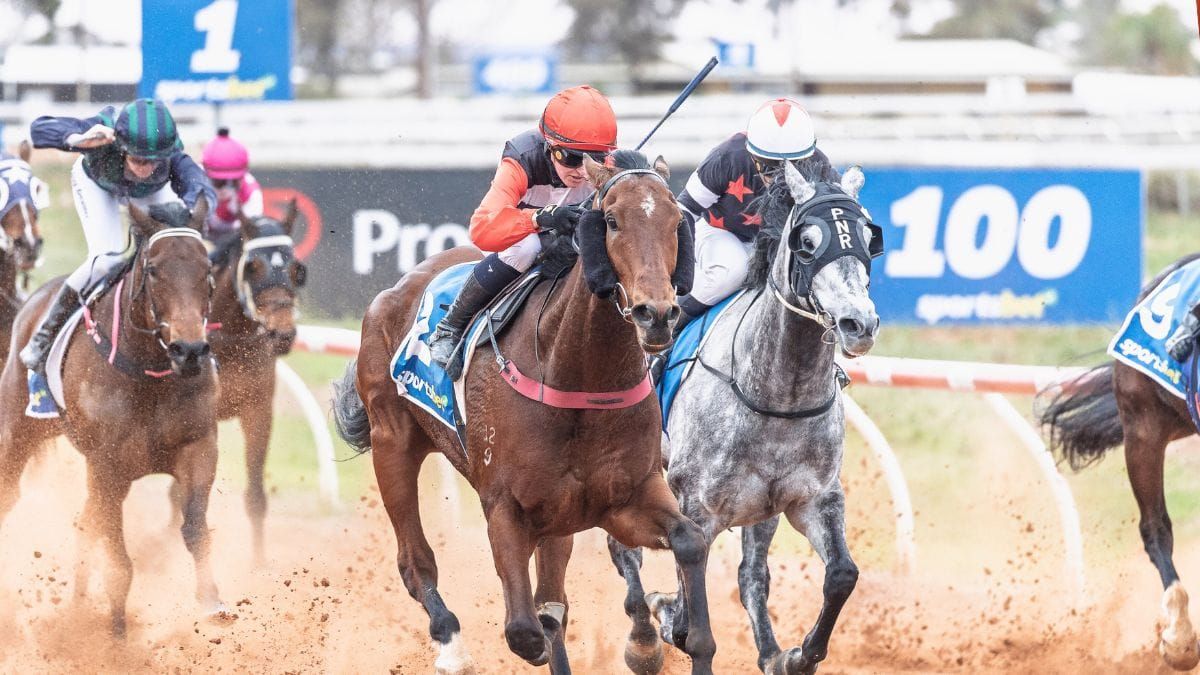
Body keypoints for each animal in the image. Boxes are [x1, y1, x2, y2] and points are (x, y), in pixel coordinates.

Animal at [0, 198, 231, 637]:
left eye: (206, 269)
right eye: (154, 269)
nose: (190, 350)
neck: (150, 370)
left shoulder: (199, 446)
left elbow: (194, 528)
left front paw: (214, 603)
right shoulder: (107, 464)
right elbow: (119, 562)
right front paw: (116, 637)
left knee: (84, 522)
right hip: (17, 431)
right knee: (12, 496)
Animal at [168, 202, 305, 564]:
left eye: (297, 269)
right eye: (253, 267)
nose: (282, 333)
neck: (230, 341)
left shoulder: (258, 411)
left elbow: (256, 496)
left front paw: (258, 565)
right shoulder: (198, 421)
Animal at [333, 150, 718, 674]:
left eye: (676, 220)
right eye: (611, 220)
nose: (656, 315)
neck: (578, 377)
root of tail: (396, 288)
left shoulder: (622, 497)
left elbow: (689, 541)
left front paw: (673, 637)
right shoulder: (505, 506)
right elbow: (525, 630)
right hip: (391, 442)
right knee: (416, 562)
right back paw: (452, 645)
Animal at [610, 163, 881, 675]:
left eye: (866, 236)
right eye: (807, 242)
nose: (859, 323)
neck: (780, 396)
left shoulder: (812, 498)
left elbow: (841, 574)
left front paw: (797, 655)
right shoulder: (698, 507)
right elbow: (684, 616)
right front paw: (663, 613)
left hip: (761, 508)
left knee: (751, 573)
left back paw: (770, 650)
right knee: (623, 552)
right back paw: (642, 638)